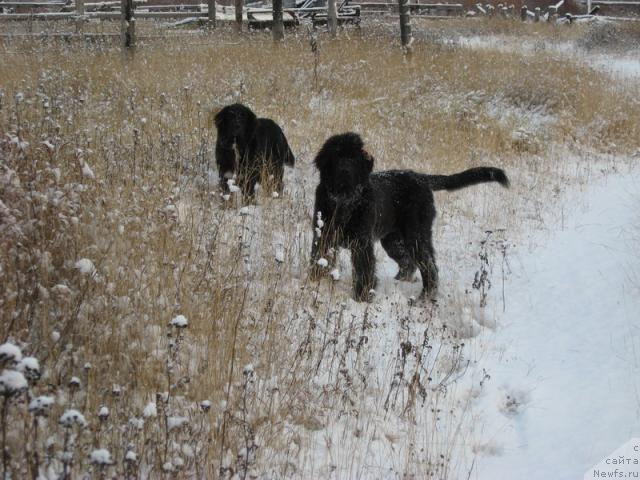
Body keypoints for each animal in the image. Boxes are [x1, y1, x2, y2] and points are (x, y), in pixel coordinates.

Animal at [310, 133, 510, 302]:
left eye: (353, 158)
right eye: (337, 156)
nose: (344, 171)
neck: (344, 201)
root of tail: (421, 178)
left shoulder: (362, 243)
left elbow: (363, 271)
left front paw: (362, 297)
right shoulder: (323, 236)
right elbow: (318, 258)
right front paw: (315, 280)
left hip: (416, 235)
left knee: (429, 266)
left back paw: (424, 297)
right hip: (394, 240)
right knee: (409, 262)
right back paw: (400, 282)